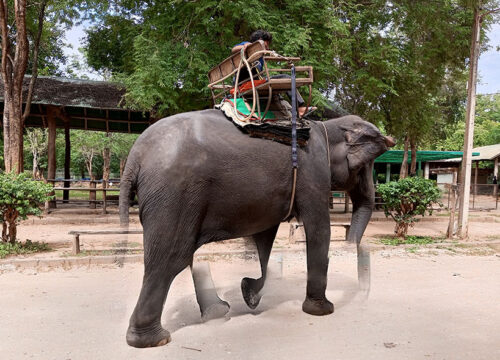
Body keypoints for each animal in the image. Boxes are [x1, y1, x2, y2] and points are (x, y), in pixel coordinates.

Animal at [120, 109, 394, 346]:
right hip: (174, 196)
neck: (326, 126)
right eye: (363, 166)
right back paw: (154, 340)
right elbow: (318, 229)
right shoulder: (313, 174)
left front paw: (249, 294)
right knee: (170, 260)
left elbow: (264, 237)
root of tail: (134, 157)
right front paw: (322, 310)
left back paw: (217, 312)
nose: (352, 247)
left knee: (180, 258)